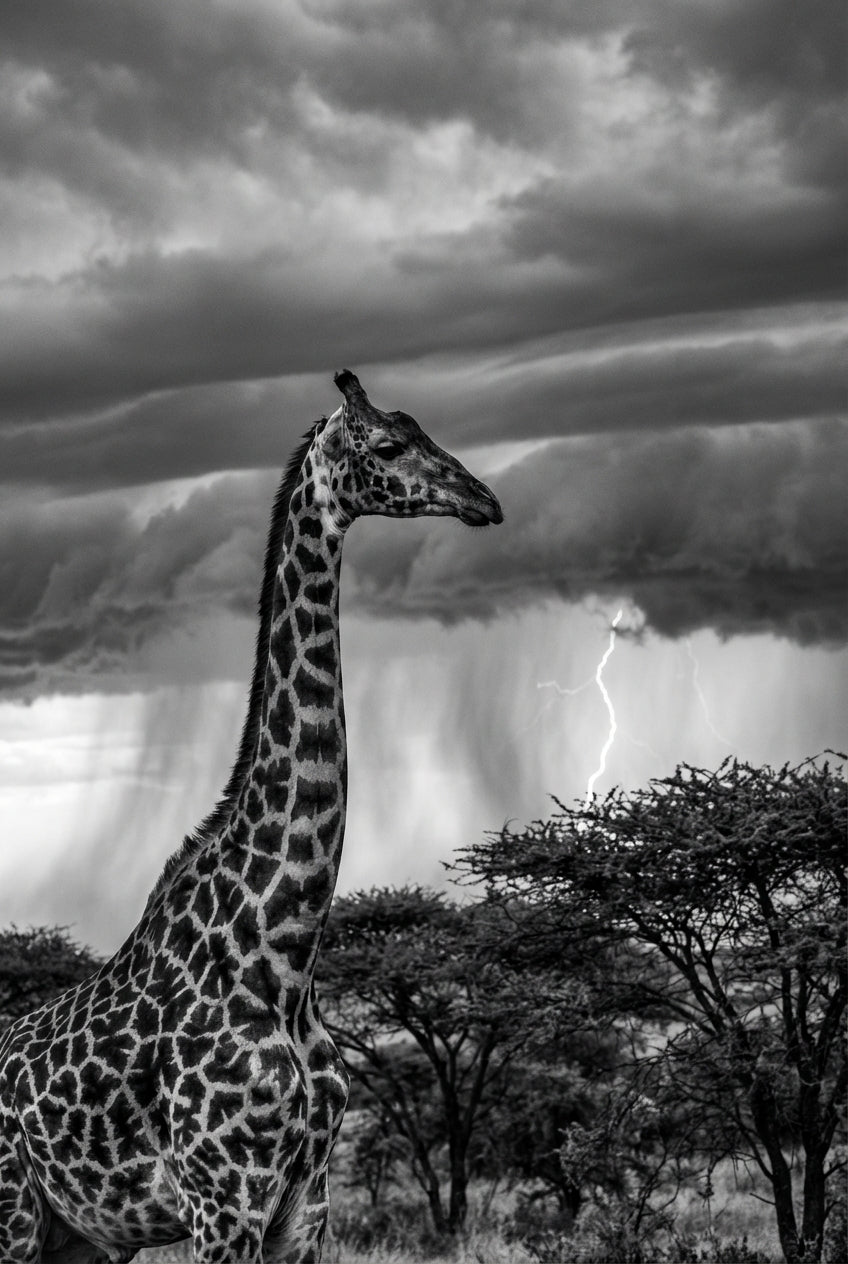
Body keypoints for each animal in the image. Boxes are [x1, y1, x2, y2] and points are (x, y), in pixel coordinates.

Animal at [0, 370, 502, 1264]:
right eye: (387, 446)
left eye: (422, 429)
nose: (484, 499)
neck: (284, 953)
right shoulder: (222, 1201)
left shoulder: (305, 1204)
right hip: (14, 1217)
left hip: (82, 1235)